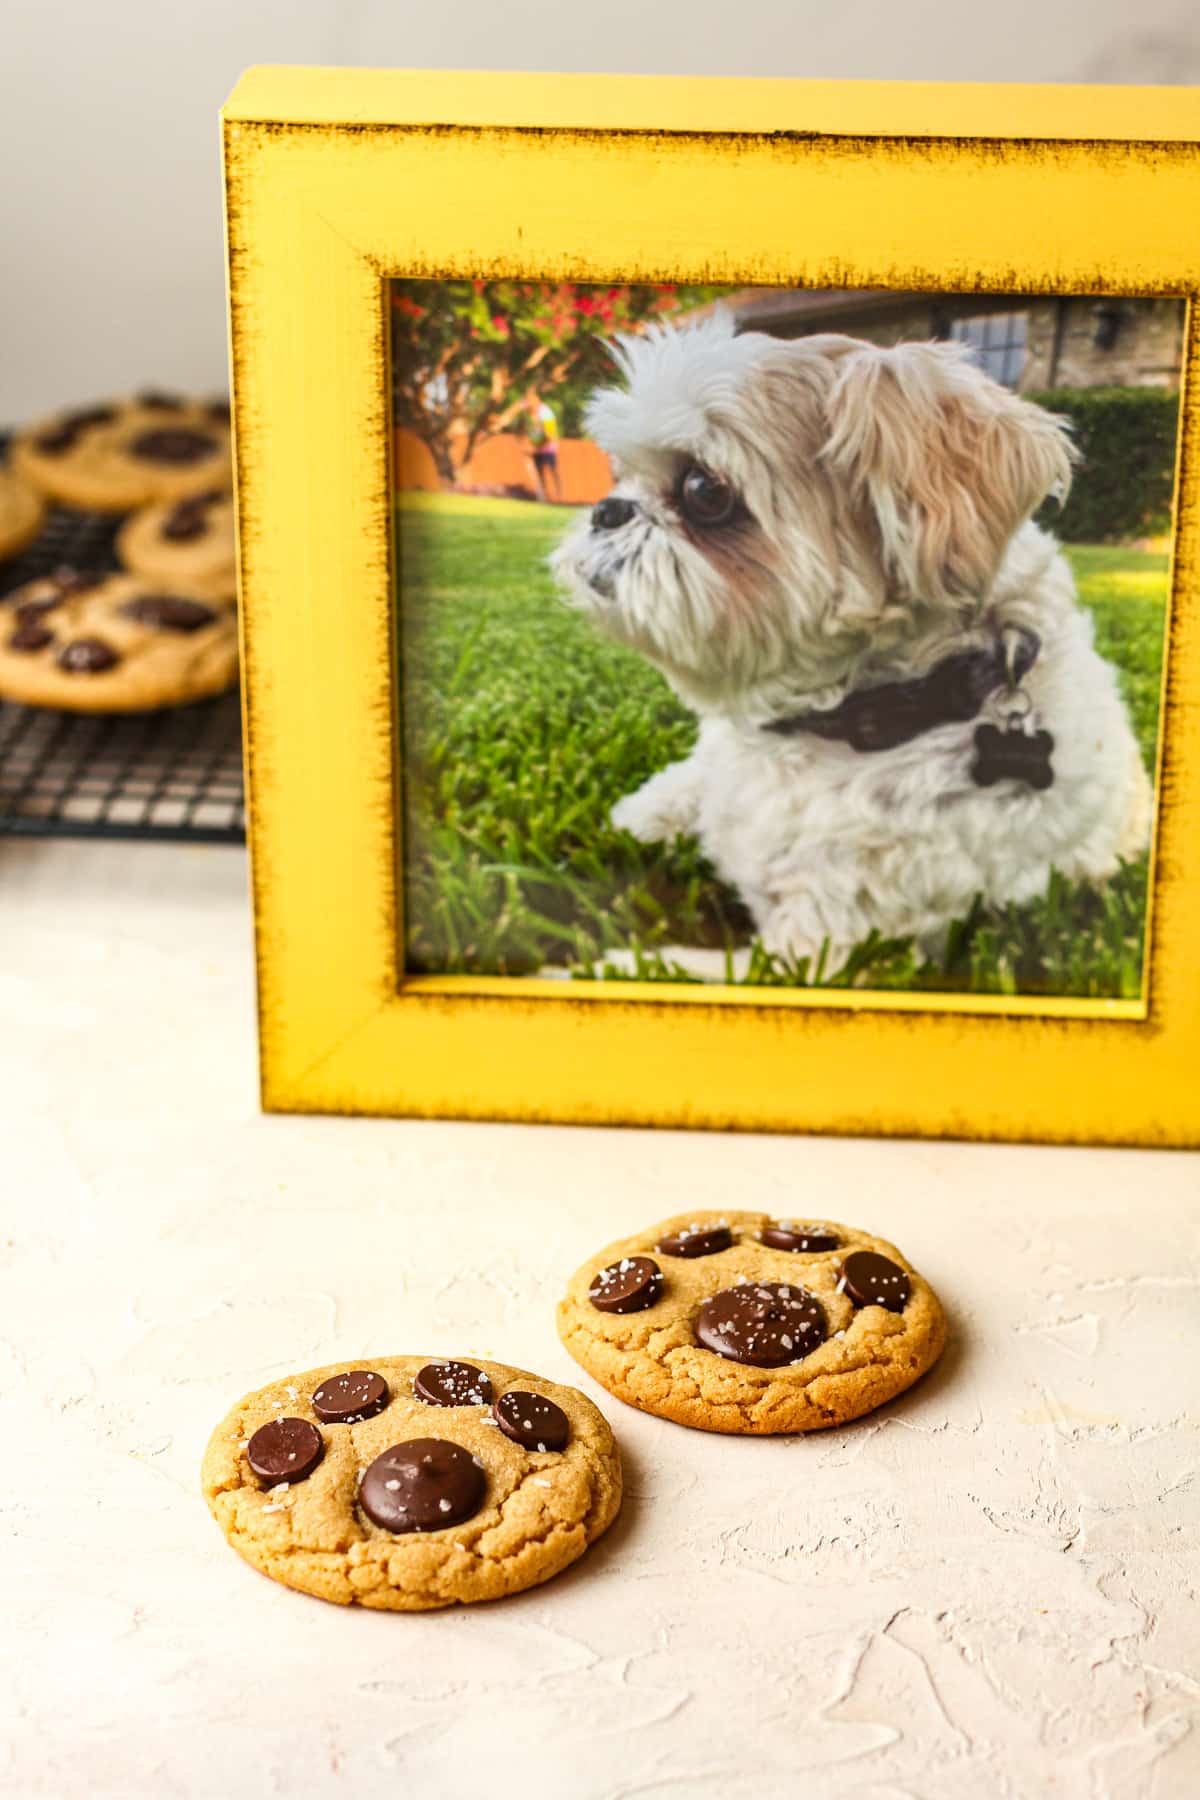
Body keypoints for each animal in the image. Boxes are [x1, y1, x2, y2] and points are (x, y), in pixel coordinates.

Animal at [554, 316, 1151, 979]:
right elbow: (685, 785)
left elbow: (683, 972)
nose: (607, 510)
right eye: (616, 474)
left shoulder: (822, 952)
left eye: (703, 489)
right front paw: (631, 815)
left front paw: (573, 971)